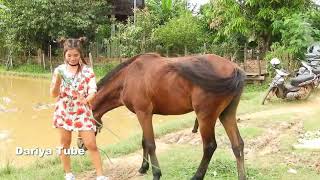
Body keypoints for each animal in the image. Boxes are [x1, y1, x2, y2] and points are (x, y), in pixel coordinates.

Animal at [91, 53, 246, 180]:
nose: (85, 147)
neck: (128, 77)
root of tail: (235, 69)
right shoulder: (144, 114)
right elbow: (144, 141)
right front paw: (143, 167)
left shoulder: (143, 113)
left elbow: (150, 144)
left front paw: (156, 174)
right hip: (227, 114)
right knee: (237, 145)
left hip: (205, 117)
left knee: (209, 146)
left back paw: (196, 176)